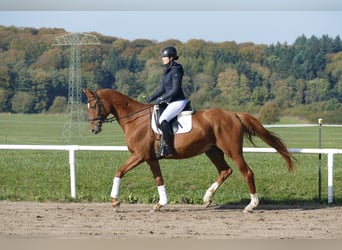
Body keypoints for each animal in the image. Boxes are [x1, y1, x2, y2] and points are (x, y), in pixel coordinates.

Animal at [83, 89, 294, 212]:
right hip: (212, 151)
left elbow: (119, 171)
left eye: (93, 105)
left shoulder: (139, 155)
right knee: (225, 171)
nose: (93, 129)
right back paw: (207, 198)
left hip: (233, 151)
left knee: (246, 173)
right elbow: (159, 179)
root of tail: (234, 114)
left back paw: (251, 205)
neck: (135, 119)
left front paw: (114, 201)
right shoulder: (150, 157)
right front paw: (161, 203)